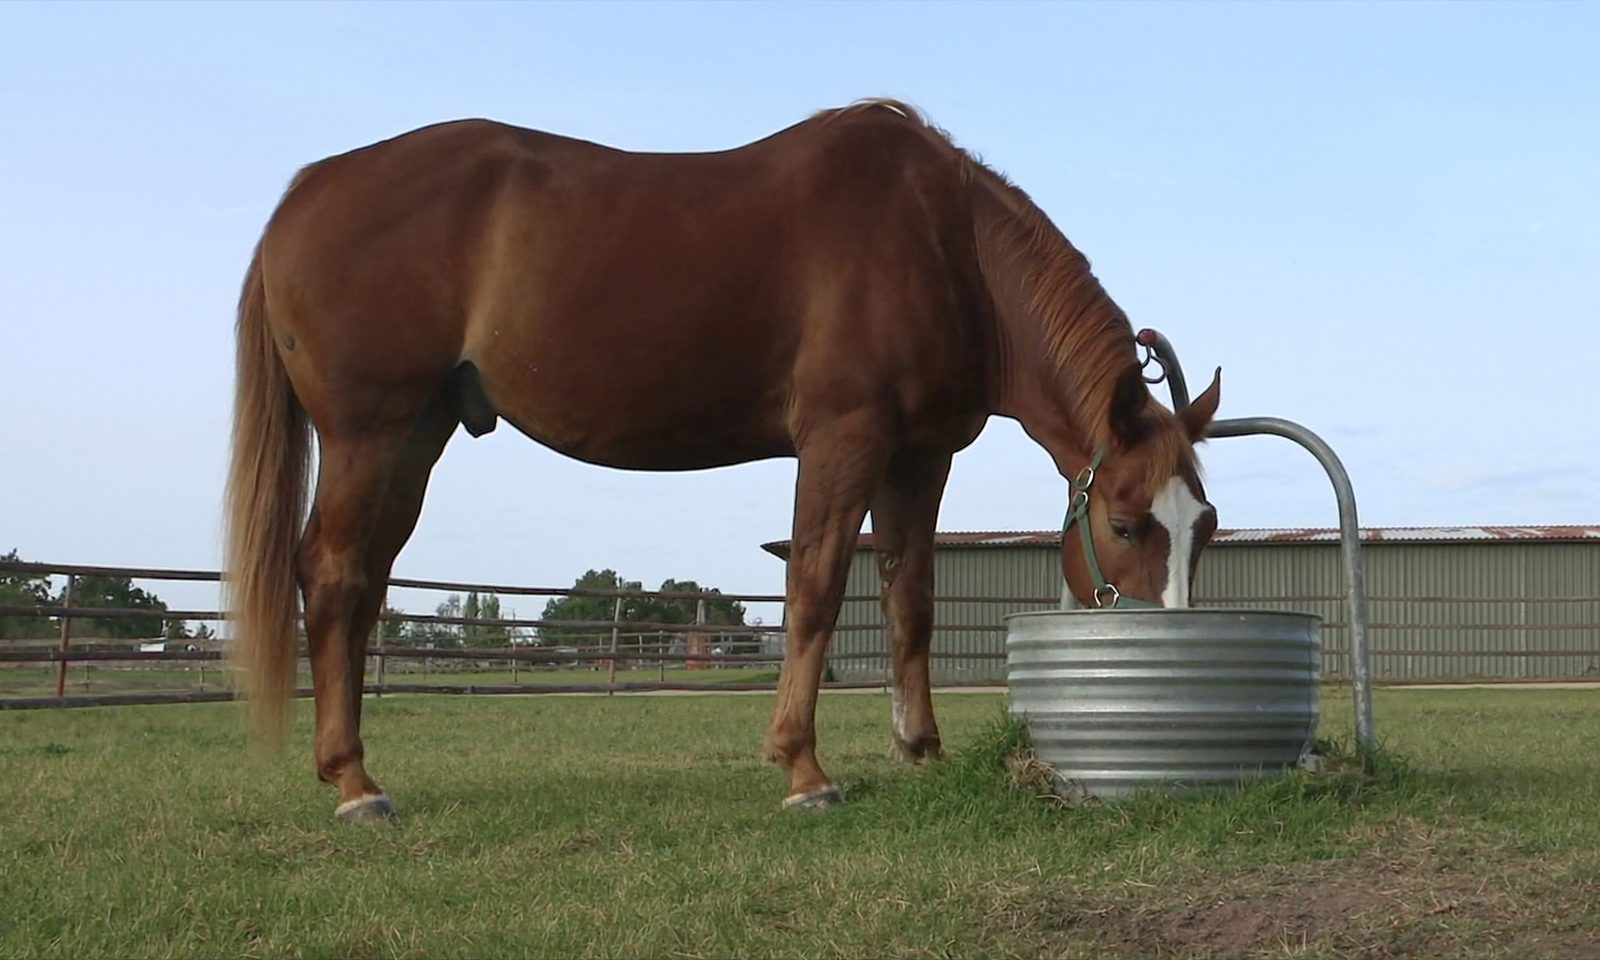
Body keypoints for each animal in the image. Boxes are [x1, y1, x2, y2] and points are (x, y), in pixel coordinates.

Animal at [224, 99, 1222, 822]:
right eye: (1126, 523)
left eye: (1204, 526)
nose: (1175, 648)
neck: (943, 244)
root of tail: (307, 192)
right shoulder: (843, 439)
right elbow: (817, 587)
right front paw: (804, 770)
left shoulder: (918, 456)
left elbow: (910, 599)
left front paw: (921, 751)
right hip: (374, 433)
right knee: (337, 576)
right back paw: (356, 786)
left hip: (414, 436)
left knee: (358, 585)